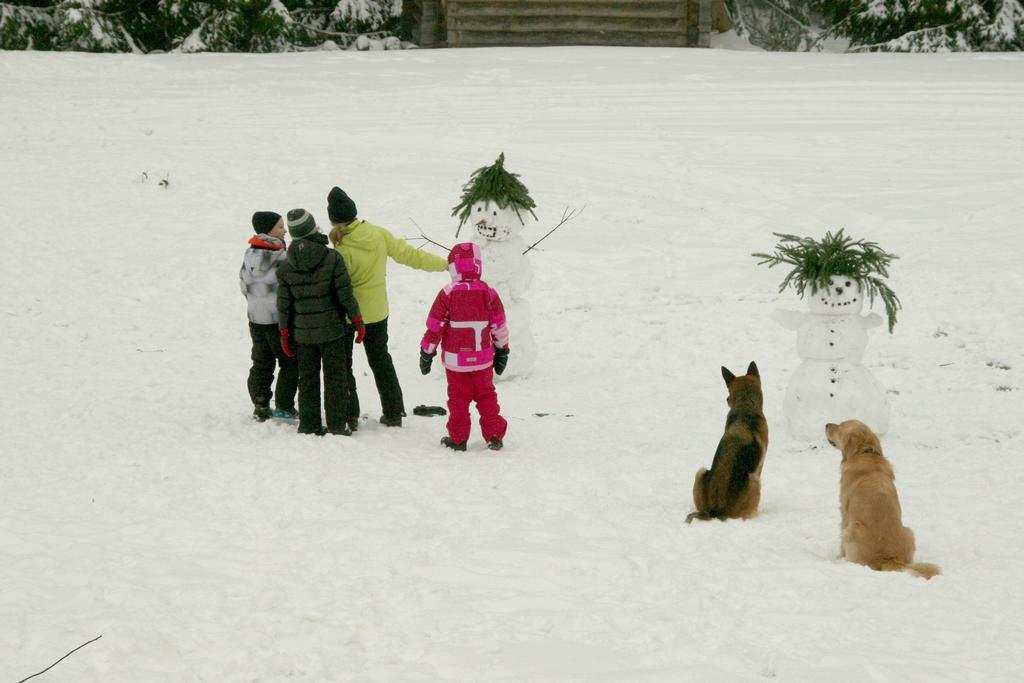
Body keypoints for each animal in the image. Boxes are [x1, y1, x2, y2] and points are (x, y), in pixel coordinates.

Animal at [688, 362, 770, 524]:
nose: (726, 399)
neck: (745, 404)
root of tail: (716, 510)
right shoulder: (760, 466)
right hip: (754, 481)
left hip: (700, 472)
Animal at [823, 419, 942, 581]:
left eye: (840, 426)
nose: (826, 424)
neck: (865, 452)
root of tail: (888, 558)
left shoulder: (844, 512)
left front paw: (838, 556)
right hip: (909, 531)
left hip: (852, 529)